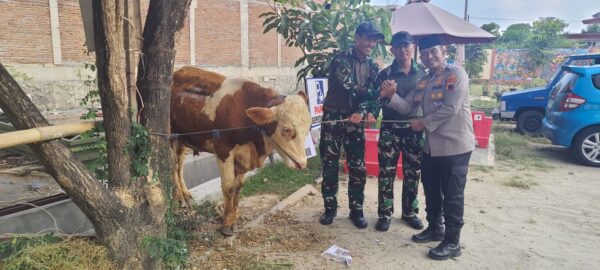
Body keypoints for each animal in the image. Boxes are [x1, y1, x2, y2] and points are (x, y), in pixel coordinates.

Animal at [169, 66, 310, 235]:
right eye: (286, 129)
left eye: (309, 126)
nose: (302, 163)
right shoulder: (223, 150)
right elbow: (229, 187)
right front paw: (227, 224)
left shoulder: (242, 156)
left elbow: (238, 187)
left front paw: (235, 215)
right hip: (169, 136)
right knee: (172, 167)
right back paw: (178, 198)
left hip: (181, 139)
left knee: (179, 166)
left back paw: (185, 194)